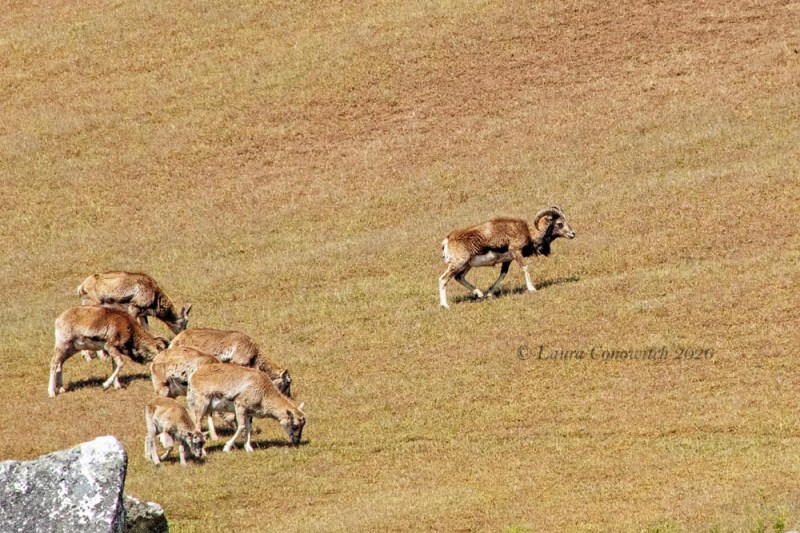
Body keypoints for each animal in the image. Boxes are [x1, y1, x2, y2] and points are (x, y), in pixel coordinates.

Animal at [438, 206, 576, 308]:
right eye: (560, 223)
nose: (573, 233)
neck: (527, 232)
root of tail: (447, 240)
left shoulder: (508, 260)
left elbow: (503, 274)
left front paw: (489, 294)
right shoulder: (516, 252)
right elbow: (525, 268)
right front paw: (532, 289)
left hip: (466, 265)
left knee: (459, 277)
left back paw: (480, 294)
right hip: (458, 264)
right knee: (443, 279)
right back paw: (445, 305)